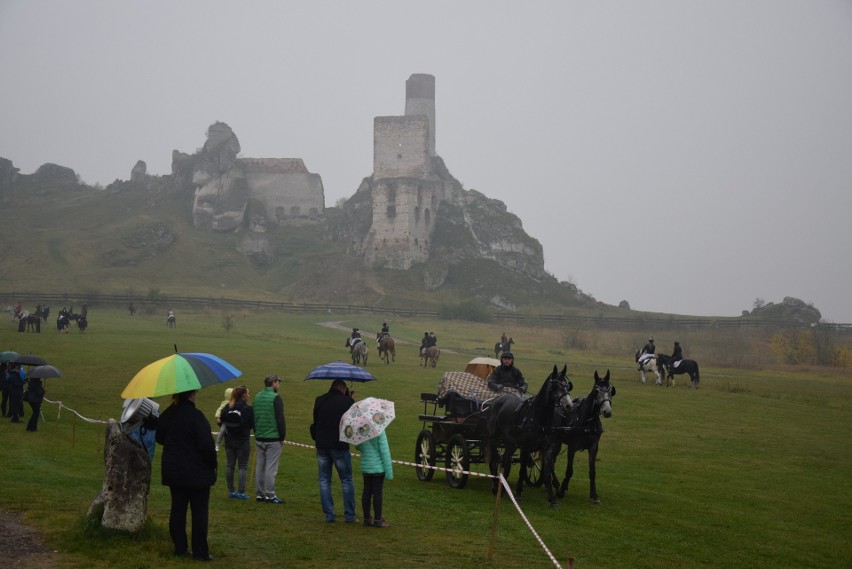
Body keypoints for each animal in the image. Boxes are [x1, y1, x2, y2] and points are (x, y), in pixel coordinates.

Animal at [482, 364, 576, 506]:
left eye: (567, 385)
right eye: (555, 386)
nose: (568, 405)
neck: (539, 416)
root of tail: (496, 400)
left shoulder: (546, 448)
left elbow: (547, 471)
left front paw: (552, 498)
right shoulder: (525, 447)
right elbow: (522, 470)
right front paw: (518, 493)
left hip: (510, 442)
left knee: (505, 460)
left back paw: (503, 486)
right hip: (494, 439)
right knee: (494, 461)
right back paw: (495, 486)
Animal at [548, 370, 616, 504]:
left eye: (611, 391)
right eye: (596, 391)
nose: (607, 411)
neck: (587, 421)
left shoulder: (594, 447)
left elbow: (592, 471)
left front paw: (594, 495)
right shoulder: (572, 447)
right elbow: (569, 471)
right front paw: (562, 490)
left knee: (551, 458)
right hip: (554, 441)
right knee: (548, 458)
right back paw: (555, 484)